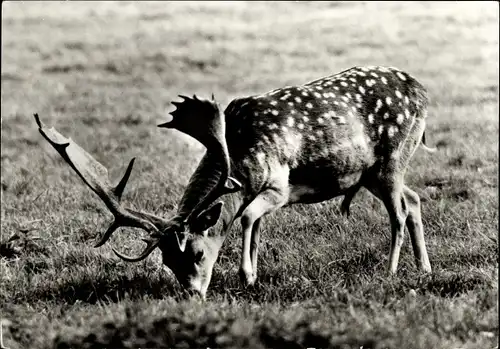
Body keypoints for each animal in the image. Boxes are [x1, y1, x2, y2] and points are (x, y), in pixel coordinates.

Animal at [35, 65, 434, 300]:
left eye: (197, 254)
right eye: (167, 261)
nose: (193, 294)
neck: (240, 156)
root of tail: (423, 90)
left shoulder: (278, 186)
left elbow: (245, 217)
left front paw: (246, 276)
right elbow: (254, 226)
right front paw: (254, 274)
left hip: (392, 159)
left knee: (399, 213)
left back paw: (391, 270)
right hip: (370, 173)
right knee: (414, 199)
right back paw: (424, 268)